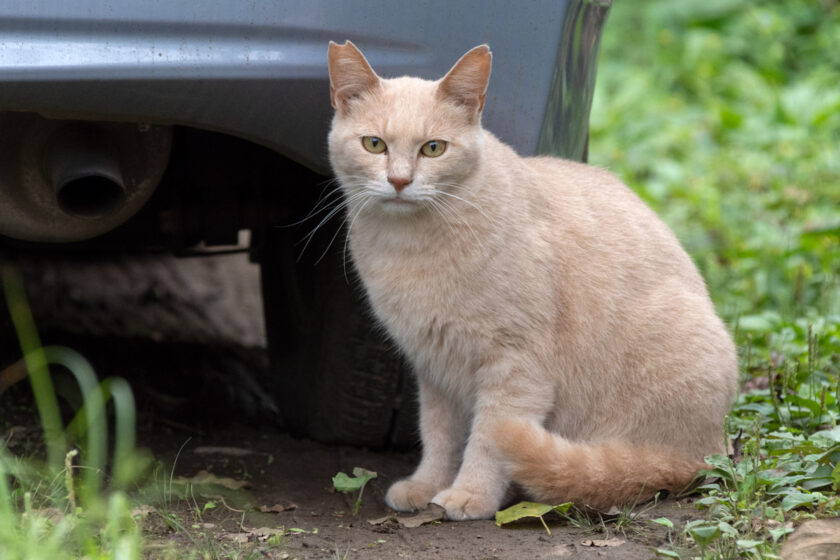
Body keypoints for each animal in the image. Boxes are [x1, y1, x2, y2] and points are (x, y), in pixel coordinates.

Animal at [324, 40, 740, 520]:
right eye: (374, 144)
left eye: (433, 149)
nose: (398, 181)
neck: (409, 248)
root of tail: (711, 447)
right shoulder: (435, 370)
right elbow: (438, 436)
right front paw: (427, 485)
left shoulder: (516, 368)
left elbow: (487, 440)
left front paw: (471, 494)